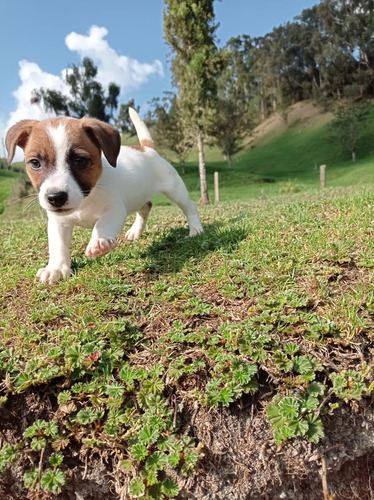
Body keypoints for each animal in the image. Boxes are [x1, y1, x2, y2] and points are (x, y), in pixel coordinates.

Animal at [5, 107, 203, 284]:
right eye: (35, 163)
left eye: (80, 160)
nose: (55, 197)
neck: (86, 199)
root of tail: (146, 148)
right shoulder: (58, 222)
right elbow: (58, 245)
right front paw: (56, 268)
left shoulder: (115, 210)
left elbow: (102, 224)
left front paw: (99, 241)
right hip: (139, 195)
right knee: (146, 206)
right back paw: (135, 231)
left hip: (175, 189)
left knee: (190, 207)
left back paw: (195, 229)